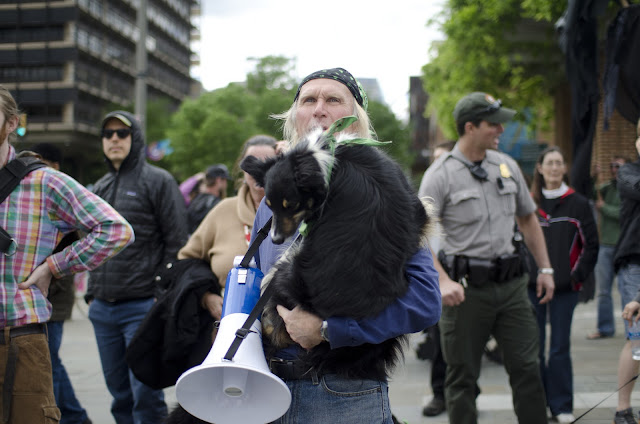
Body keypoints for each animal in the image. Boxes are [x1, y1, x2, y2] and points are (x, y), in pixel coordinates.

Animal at [242, 127, 432, 380]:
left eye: (291, 205)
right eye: (270, 206)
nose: (276, 239)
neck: (328, 159)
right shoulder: (413, 204)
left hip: (284, 273)